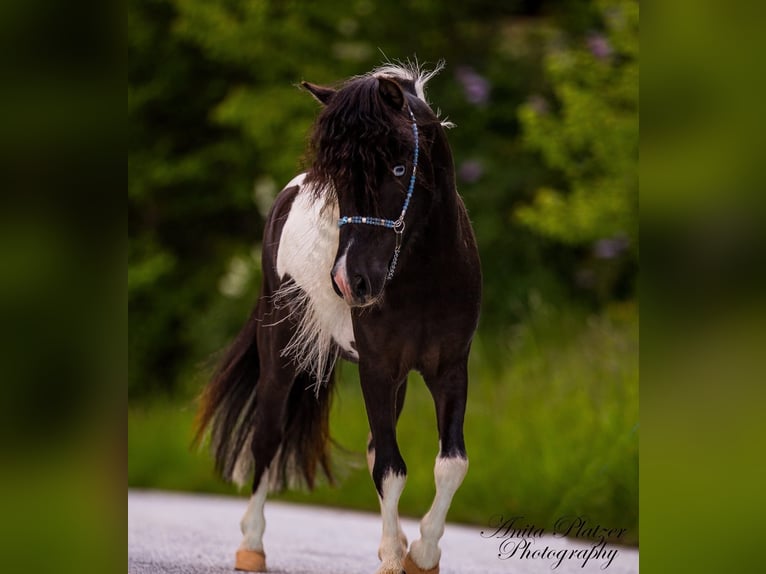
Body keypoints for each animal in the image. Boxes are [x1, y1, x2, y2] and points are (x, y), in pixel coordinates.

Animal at [198, 63, 484, 574]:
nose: (351, 281)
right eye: (337, 178)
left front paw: (422, 553)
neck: (425, 277)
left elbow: (450, 463)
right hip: (281, 357)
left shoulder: (449, 369)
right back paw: (251, 546)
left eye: (399, 168)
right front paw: (393, 558)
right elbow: (389, 467)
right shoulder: (377, 368)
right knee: (266, 439)